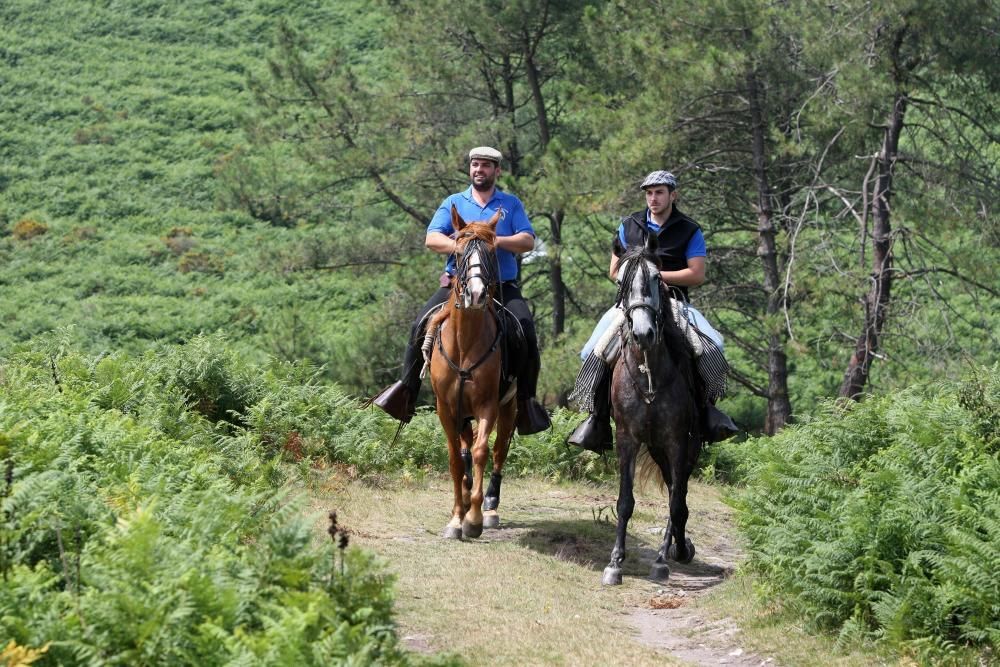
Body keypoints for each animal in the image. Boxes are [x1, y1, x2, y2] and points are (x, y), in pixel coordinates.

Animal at [428, 206, 516, 540]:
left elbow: (481, 451)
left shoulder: (487, 405)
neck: (465, 342)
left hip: (510, 407)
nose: (476, 294)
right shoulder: (446, 408)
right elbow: (456, 458)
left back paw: (489, 507)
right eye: (459, 252)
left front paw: (474, 518)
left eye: (491, 253)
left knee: (499, 451)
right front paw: (457, 517)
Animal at [600, 237, 704, 588]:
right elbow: (625, 501)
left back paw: (677, 549)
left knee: (678, 492)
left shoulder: (677, 441)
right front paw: (615, 562)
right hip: (657, 448)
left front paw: (663, 559)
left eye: (658, 278)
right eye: (621, 281)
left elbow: (675, 502)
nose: (643, 333)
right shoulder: (627, 439)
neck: (649, 373)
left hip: (684, 448)